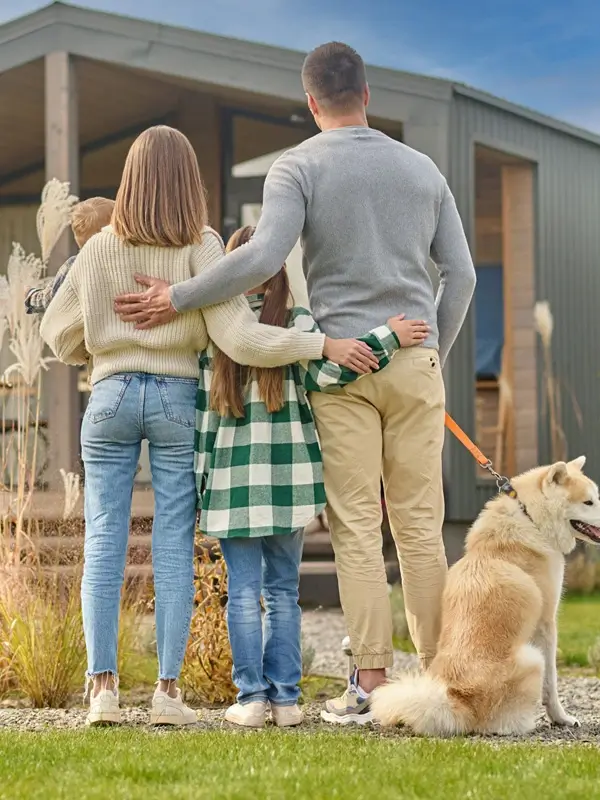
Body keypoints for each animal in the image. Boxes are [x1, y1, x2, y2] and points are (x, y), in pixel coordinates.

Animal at [370, 456, 600, 736]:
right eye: (588, 502)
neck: (530, 519)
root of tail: (458, 699)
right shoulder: (546, 625)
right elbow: (551, 685)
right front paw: (561, 718)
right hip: (533, 657)